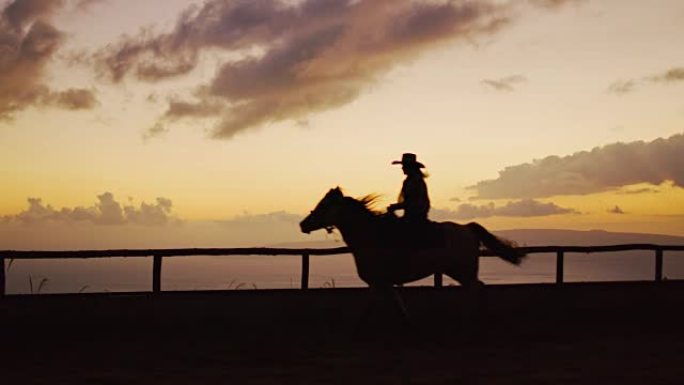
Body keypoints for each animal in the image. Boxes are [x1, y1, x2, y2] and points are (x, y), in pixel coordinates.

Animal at [298, 188, 524, 316]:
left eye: (324, 205)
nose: (303, 224)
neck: (372, 235)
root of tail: (467, 228)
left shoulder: (377, 282)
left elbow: (368, 310)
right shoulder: (384, 283)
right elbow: (398, 306)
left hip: (463, 270)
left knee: (476, 288)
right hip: (459, 271)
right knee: (478, 288)